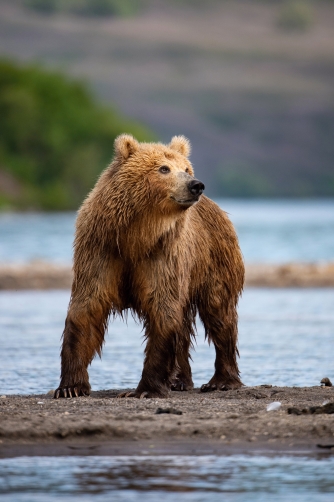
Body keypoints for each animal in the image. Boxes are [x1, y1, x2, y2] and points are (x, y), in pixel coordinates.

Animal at [54, 134, 243, 400]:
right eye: (164, 168)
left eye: (186, 168)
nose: (196, 185)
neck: (136, 237)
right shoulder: (101, 251)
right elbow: (87, 309)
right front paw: (70, 386)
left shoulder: (163, 255)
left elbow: (163, 312)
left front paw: (145, 389)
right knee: (185, 326)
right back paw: (179, 380)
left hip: (213, 260)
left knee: (219, 312)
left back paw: (221, 381)